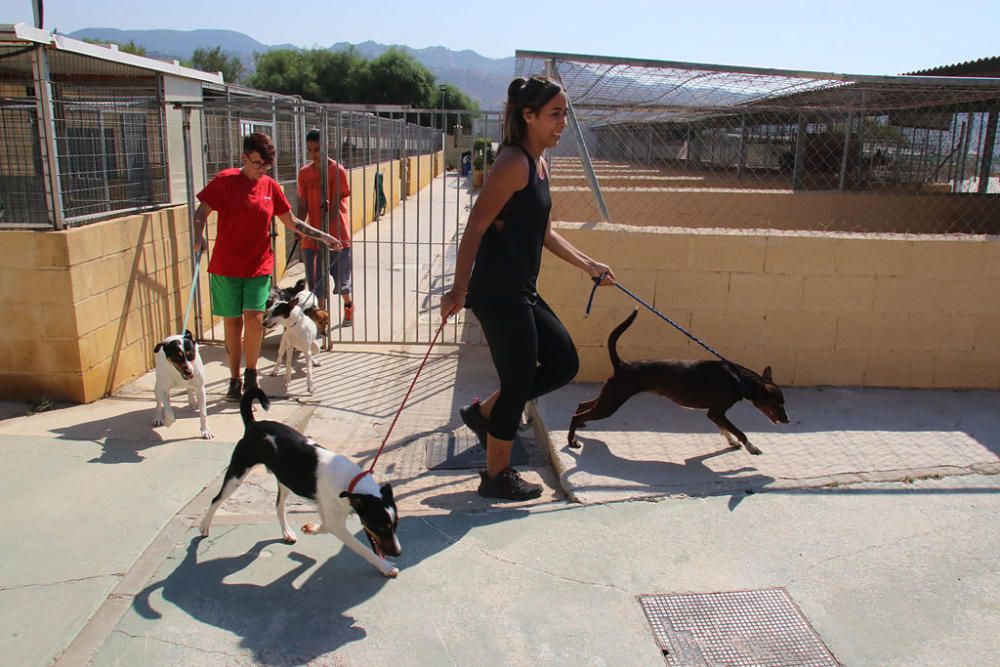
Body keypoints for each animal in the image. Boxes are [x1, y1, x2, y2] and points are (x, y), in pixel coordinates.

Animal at [199, 388, 402, 576]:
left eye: (395, 525)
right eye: (380, 527)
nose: (398, 553)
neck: (350, 484)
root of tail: (254, 424)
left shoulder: (324, 508)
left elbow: (325, 527)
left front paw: (310, 529)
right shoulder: (337, 523)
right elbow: (364, 549)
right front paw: (386, 567)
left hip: (285, 480)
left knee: (278, 506)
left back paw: (287, 533)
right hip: (237, 473)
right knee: (216, 499)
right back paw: (204, 526)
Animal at [568, 310, 784, 456]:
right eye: (778, 403)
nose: (787, 420)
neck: (739, 378)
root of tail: (622, 364)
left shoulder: (715, 413)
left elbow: (726, 429)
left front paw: (732, 441)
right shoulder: (716, 411)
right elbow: (739, 430)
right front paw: (751, 446)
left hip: (609, 396)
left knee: (582, 405)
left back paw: (580, 428)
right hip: (611, 402)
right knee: (577, 415)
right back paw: (572, 441)